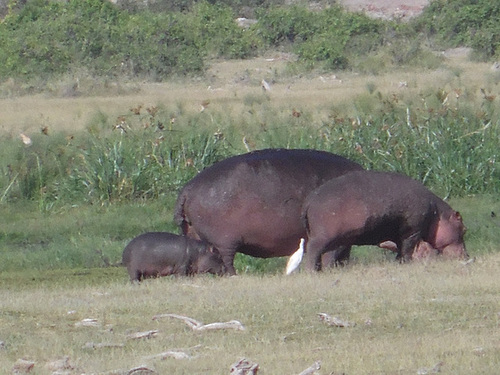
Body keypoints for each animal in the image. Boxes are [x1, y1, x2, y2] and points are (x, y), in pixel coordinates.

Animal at [176, 149, 364, 276]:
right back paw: (234, 276)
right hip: (224, 242)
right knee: (227, 261)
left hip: (196, 234)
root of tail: (187, 189)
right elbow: (331, 258)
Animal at [300, 170, 468, 270]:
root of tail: (310, 199)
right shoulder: (413, 231)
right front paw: (406, 263)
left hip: (337, 239)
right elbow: (407, 249)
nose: (466, 255)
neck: (437, 213)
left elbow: (400, 250)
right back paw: (312, 271)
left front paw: (399, 263)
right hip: (323, 237)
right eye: (464, 228)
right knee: (313, 250)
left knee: (328, 256)